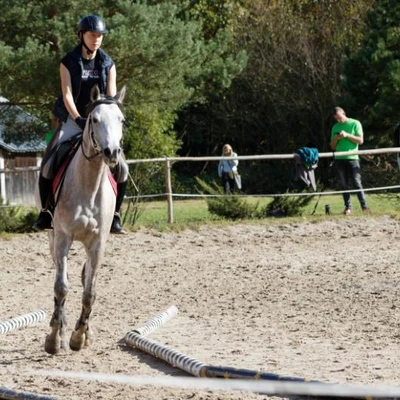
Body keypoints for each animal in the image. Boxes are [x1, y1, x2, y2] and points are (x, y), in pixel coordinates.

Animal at [37, 84, 126, 354]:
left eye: (122, 120)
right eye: (94, 119)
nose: (112, 152)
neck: (89, 183)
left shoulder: (98, 244)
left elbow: (90, 292)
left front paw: (79, 336)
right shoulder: (63, 238)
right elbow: (61, 287)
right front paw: (55, 338)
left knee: (85, 277)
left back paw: (85, 332)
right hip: (52, 237)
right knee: (61, 277)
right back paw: (59, 326)